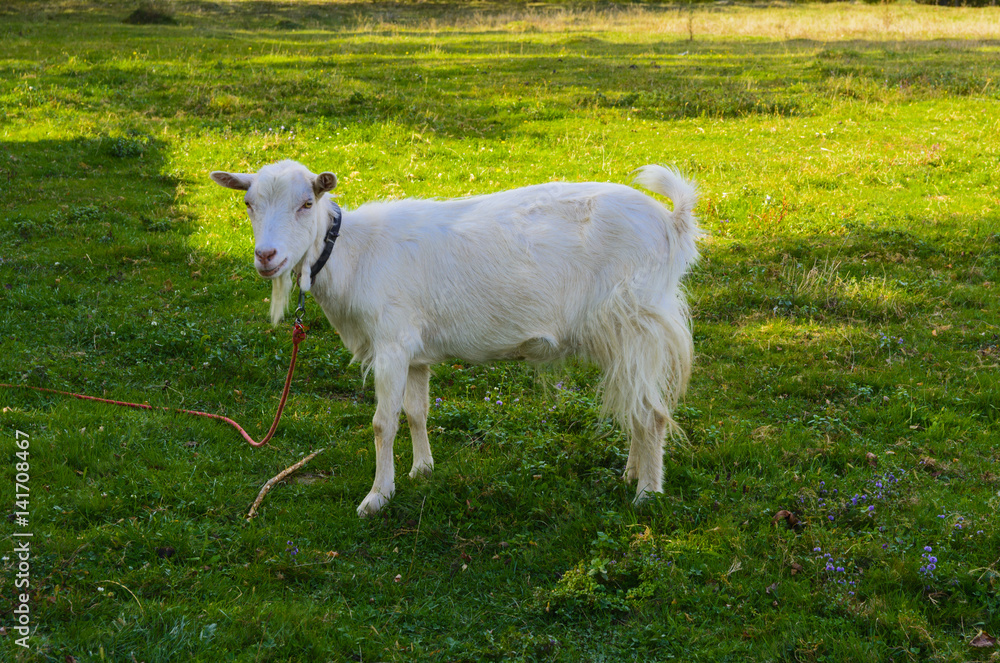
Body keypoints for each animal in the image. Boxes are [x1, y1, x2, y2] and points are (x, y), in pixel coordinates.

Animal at [211, 160, 700, 517]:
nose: (266, 256)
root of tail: (671, 222)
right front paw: (422, 470)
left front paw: (377, 497)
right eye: (249, 203)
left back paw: (647, 494)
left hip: (636, 320)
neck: (353, 252)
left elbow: (383, 423)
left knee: (652, 413)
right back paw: (632, 474)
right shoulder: (414, 352)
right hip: (623, 334)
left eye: (307, 202)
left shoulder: (391, 342)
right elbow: (415, 413)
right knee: (636, 405)